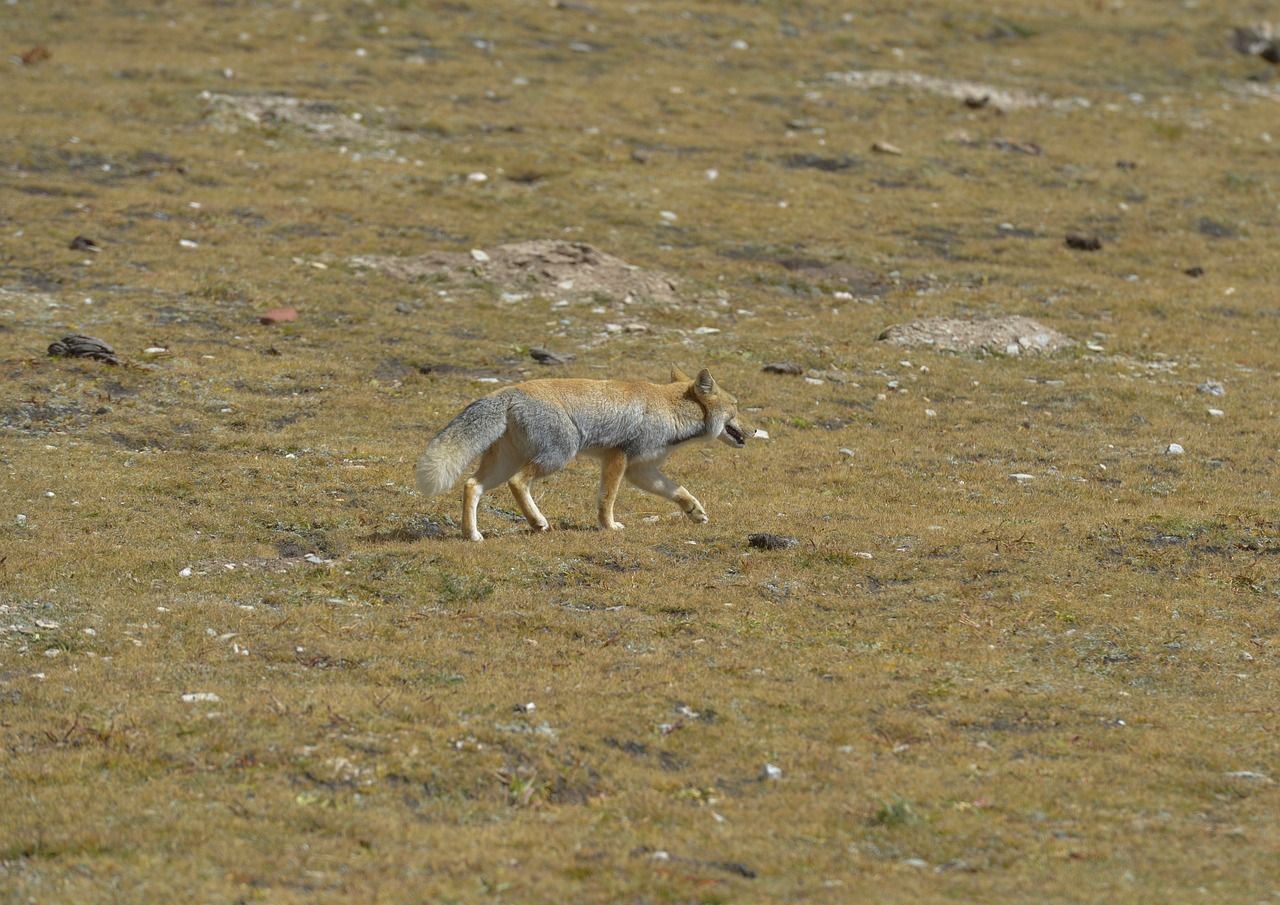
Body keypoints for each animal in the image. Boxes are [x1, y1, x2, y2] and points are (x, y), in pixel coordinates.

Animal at [416, 366, 748, 541]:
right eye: (736, 408)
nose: (754, 429)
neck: (669, 409)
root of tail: (509, 390)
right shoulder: (619, 458)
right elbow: (606, 500)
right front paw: (609, 526)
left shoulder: (641, 469)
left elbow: (678, 490)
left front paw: (694, 511)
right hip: (557, 455)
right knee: (518, 482)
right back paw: (537, 522)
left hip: (506, 463)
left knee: (471, 485)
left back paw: (471, 534)